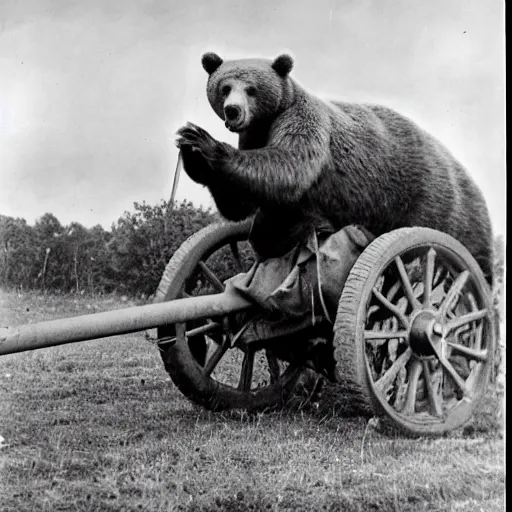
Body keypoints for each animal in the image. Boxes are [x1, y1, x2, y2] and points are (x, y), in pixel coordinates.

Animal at [175, 52, 492, 288]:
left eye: (252, 89)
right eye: (224, 87)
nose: (233, 111)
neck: (267, 122)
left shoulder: (304, 124)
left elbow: (286, 170)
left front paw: (204, 142)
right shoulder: (254, 136)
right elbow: (241, 202)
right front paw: (189, 147)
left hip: (428, 204)